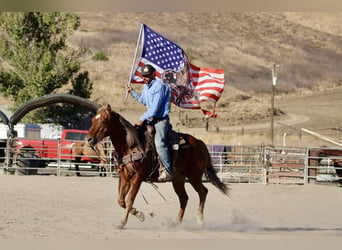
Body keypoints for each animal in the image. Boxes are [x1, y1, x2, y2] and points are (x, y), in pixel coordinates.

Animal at [85, 103, 230, 229]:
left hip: (194, 176)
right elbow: (121, 200)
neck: (131, 146)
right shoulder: (125, 177)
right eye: (92, 120)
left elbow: (130, 199)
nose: (89, 139)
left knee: (203, 192)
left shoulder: (137, 177)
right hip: (178, 178)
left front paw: (122, 223)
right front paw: (139, 214)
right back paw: (176, 222)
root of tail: (200, 143)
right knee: (184, 198)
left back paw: (199, 220)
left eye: (104, 121)